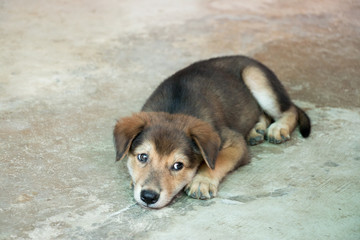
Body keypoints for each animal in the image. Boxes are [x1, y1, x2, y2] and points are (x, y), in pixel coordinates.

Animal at [114, 55, 310, 208]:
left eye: (178, 166)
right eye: (142, 157)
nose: (148, 197)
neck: (174, 109)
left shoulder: (234, 141)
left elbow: (218, 160)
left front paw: (202, 181)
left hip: (256, 77)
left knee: (291, 109)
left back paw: (278, 128)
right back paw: (256, 130)